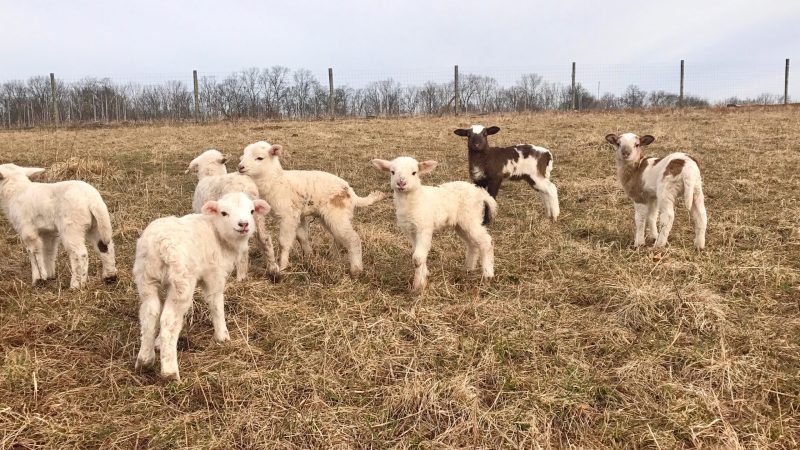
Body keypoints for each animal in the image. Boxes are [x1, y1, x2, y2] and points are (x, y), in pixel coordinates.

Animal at [131, 192, 268, 382]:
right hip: (182, 281)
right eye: (224, 213)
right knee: (169, 320)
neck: (218, 233)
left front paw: (158, 343)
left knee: (149, 314)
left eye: (252, 210)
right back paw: (170, 372)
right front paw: (223, 336)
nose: (243, 224)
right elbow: (216, 304)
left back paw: (144, 360)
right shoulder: (215, 275)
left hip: (146, 277)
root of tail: (161, 244)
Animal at [238, 141, 384, 276]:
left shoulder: (288, 216)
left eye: (260, 158)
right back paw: (333, 257)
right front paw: (309, 256)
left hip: (337, 213)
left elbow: (284, 242)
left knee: (352, 238)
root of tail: (351, 193)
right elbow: (302, 237)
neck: (275, 180)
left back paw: (356, 270)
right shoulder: (298, 215)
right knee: (338, 237)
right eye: (242, 156)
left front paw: (283, 267)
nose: (240, 167)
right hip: (329, 216)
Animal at [372, 156, 496, 294]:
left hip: (471, 218)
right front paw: (424, 274)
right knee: (472, 243)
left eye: (414, 172)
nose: (401, 183)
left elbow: (417, 258)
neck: (412, 200)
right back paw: (468, 268)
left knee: (486, 241)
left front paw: (418, 286)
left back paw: (488, 274)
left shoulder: (424, 227)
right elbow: (418, 253)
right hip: (461, 224)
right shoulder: (410, 231)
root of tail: (481, 193)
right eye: (392, 172)